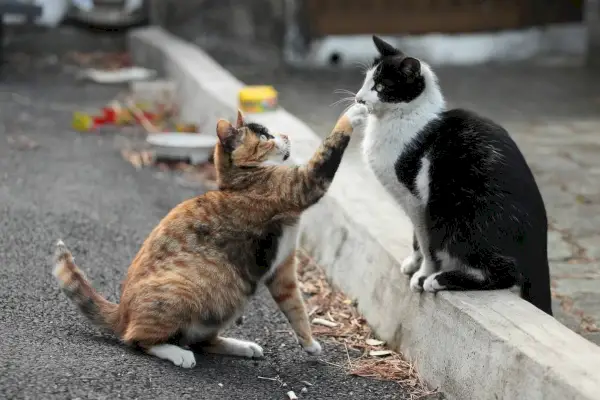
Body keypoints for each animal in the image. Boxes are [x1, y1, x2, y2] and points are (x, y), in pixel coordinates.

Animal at [54, 104, 368, 368]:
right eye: (264, 136)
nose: (285, 135)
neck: (242, 179)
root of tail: (121, 312)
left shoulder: (282, 270)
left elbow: (295, 308)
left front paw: (310, 343)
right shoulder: (305, 184)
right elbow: (328, 148)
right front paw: (353, 112)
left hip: (229, 299)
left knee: (203, 341)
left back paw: (241, 346)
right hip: (187, 291)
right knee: (138, 340)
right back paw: (177, 353)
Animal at [356, 36, 552, 316]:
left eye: (381, 86)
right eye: (366, 81)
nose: (359, 99)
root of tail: (540, 238)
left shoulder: (418, 201)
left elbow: (427, 243)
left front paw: (423, 273)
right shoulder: (411, 202)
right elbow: (416, 239)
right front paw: (412, 263)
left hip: (455, 216)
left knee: (506, 272)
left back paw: (438, 280)